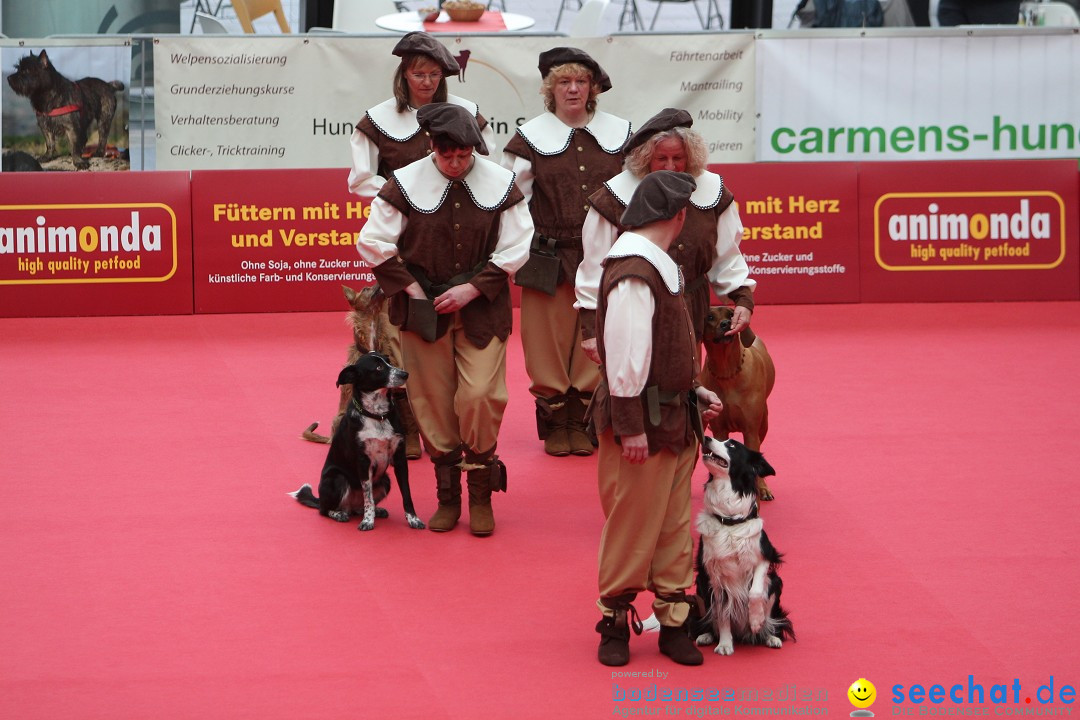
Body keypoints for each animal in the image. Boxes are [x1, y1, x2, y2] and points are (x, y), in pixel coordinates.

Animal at [289, 354, 423, 528]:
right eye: (378, 367)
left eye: (388, 361)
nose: (405, 374)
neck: (378, 416)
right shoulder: (363, 461)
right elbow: (368, 496)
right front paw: (368, 521)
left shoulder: (400, 459)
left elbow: (406, 494)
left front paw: (413, 519)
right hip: (337, 479)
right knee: (325, 510)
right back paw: (339, 514)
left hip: (385, 480)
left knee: (359, 507)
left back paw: (376, 511)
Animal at [691, 436, 794, 656]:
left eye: (732, 445)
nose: (706, 437)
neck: (730, 521)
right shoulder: (713, 575)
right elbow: (722, 612)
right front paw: (724, 644)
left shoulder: (766, 555)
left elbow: (755, 591)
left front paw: (756, 620)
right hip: (701, 586)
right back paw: (705, 635)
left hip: (776, 582)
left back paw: (770, 636)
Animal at [699, 306, 777, 500]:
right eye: (710, 317)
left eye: (731, 314)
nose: (726, 324)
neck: (727, 372)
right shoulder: (719, 430)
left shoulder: (751, 430)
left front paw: (758, 489)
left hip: (763, 424)